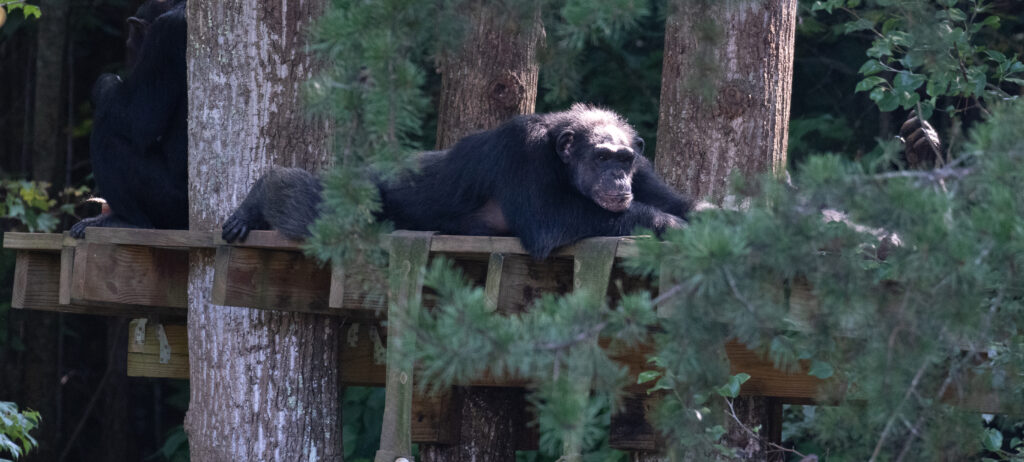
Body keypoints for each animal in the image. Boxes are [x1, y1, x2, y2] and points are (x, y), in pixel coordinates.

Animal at [70, 0, 188, 238]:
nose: (130, 48)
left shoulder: (165, 34)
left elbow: (139, 118)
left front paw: (103, 83)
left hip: (170, 204)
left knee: (109, 136)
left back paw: (126, 222)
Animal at [221, 104, 692, 260]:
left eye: (624, 158)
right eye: (601, 157)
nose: (616, 174)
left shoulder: (645, 170)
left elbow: (681, 202)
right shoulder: (520, 152)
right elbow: (548, 222)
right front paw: (666, 224)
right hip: (372, 190)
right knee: (322, 209)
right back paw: (261, 195)